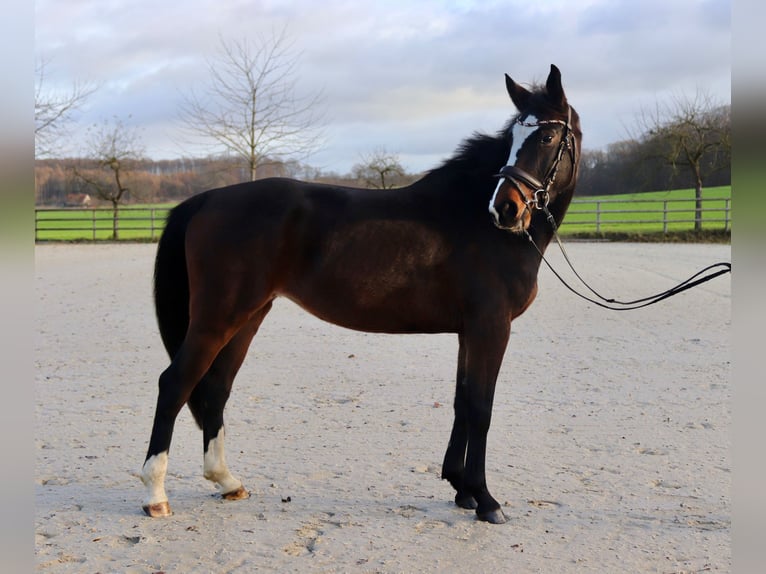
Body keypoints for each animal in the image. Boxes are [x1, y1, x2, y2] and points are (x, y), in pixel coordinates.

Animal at [141, 64, 582, 524]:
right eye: (513, 137)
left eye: (547, 136)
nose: (506, 209)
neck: (474, 222)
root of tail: (206, 199)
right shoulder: (490, 328)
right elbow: (481, 407)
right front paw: (486, 500)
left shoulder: (469, 332)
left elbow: (462, 402)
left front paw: (462, 490)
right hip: (217, 318)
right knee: (175, 384)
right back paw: (155, 495)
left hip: (247, 316)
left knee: (215, 388)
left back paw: (227, 481)